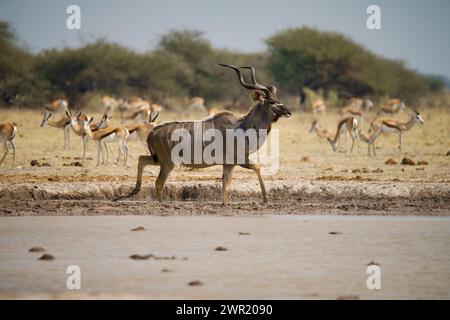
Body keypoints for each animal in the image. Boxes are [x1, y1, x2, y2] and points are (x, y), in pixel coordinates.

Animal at [116, 63, 292, 202]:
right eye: (272, 102)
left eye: (278, 100)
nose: (288, 112)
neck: (242, 127)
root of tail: (153, 132)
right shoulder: (240, 159)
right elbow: (257, 168)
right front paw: (265, 199)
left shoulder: (228, 165)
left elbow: (226, 187)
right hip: (168, 162)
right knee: (158, 183)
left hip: (158, 159)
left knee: (142, 160)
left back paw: (132, 192)